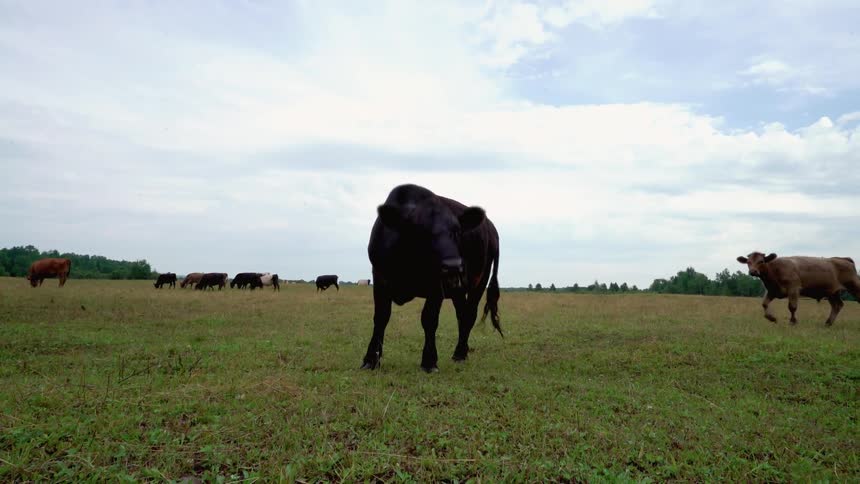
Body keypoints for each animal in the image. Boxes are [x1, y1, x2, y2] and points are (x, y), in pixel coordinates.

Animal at [361, 184, 502, 373]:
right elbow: (381, 317)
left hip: (480, 280)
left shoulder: (436, 285)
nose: (453, 265)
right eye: (421, 232)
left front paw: (429, 361)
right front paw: (371, 359)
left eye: (457, 231)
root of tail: (491, 229)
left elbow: (429, 319)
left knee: (469, 314)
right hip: (458, 288)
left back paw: (460, 353)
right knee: (462, 314)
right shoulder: (380, 277)